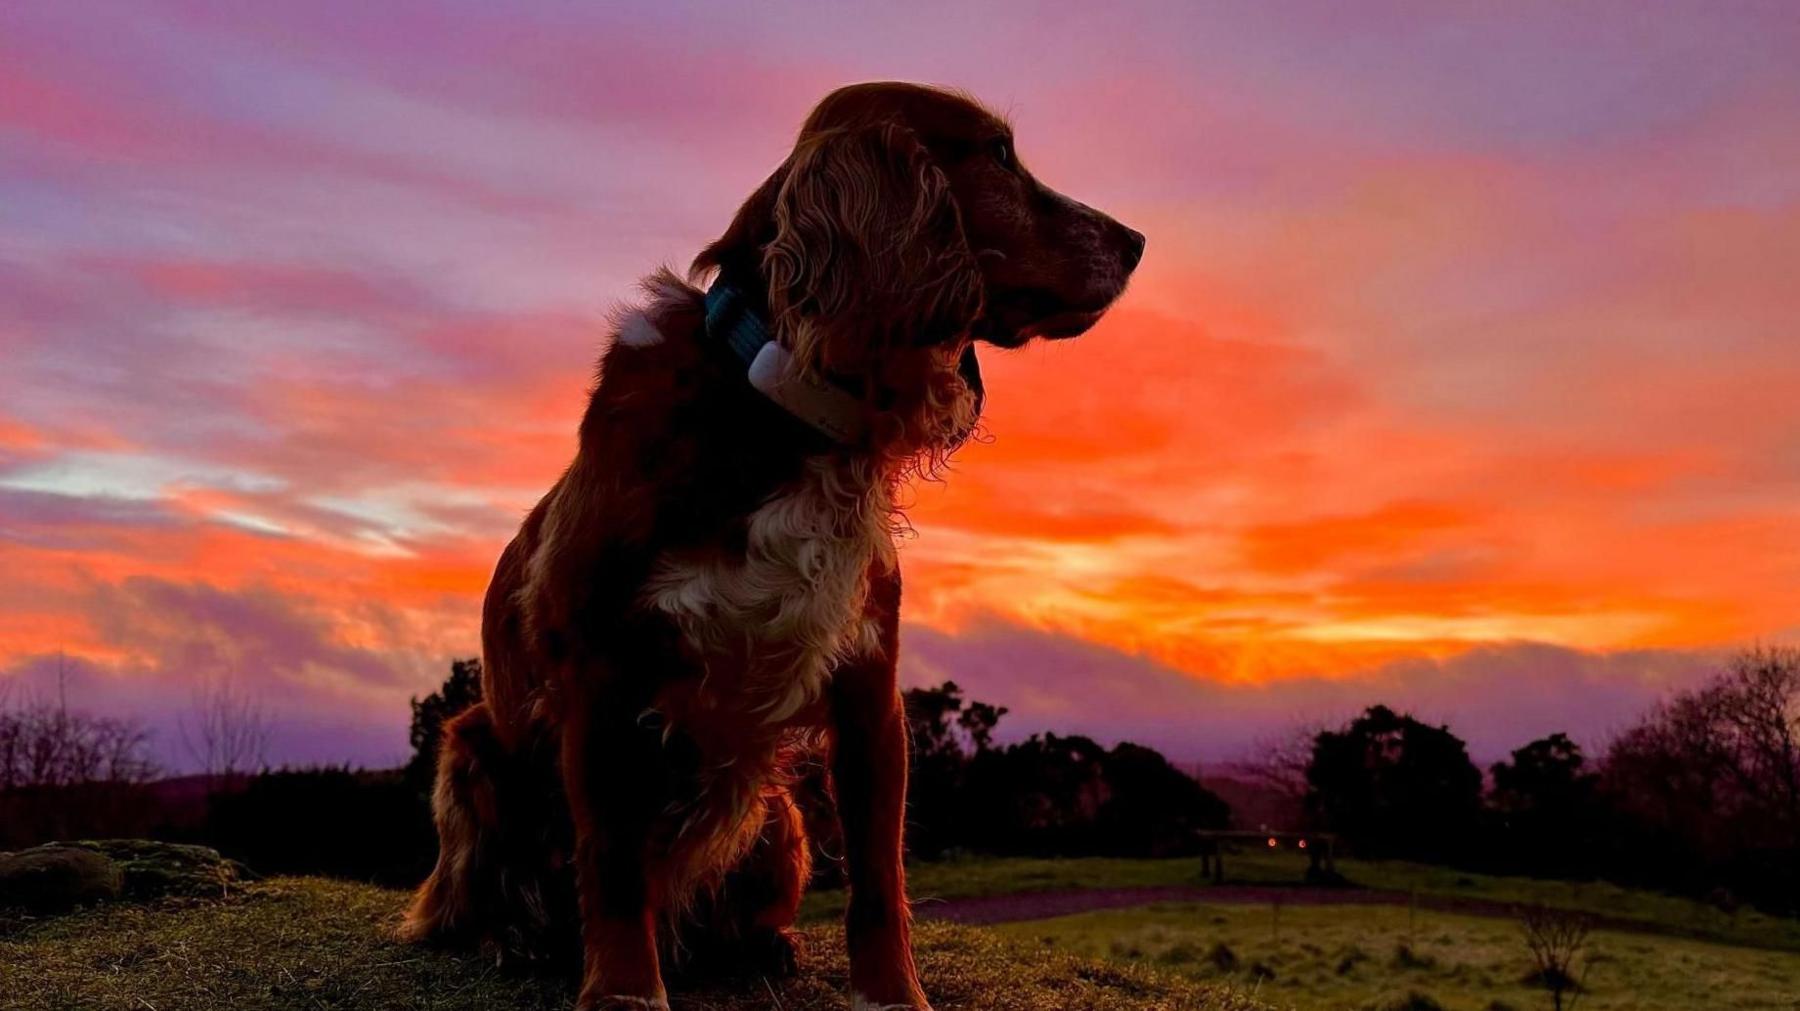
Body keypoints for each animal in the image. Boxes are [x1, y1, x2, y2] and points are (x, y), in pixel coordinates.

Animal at [403, 80, 1144, 1007]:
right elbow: (610, 864)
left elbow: (878, 877)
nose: (1136, 241)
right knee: (475, 897)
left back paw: (760, 946)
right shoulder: (601, 670)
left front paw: (895, 992)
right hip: (470, 751)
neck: (779, 403)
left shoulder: (870, 682)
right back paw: (517, 940)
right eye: (999, 157)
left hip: (776, 813)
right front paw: (623, 988)